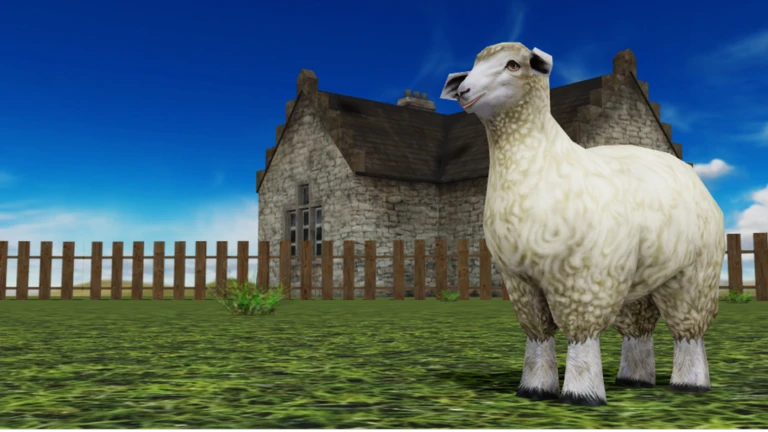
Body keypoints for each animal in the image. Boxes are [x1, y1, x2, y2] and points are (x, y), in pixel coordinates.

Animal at [439, 42, 725, 406]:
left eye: (513, 64)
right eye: (473, 67)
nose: (464, 90)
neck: (538, 162)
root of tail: (690, 173)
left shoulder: (584, 279)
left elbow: (581, 336)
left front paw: (581, 393)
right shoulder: (520, 281)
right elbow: (538, 334)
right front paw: (534, 388)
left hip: (693, 275)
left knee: (688, 331)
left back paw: (690, 382)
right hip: (636, 278)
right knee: (638, 328)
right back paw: (634, 378)